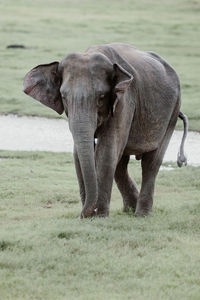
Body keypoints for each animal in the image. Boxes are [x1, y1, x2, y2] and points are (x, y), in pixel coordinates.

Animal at [23, 42, 188, 218]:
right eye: (64, 97)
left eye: (101, 97)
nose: (82, 215)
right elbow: (78, 155)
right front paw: (91, 216)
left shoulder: (125, 100)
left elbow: (106, 152)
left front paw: (99, 216)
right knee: (121, 164)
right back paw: (130, 208)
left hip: (173, 110)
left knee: (151, 162)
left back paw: (141, 214)